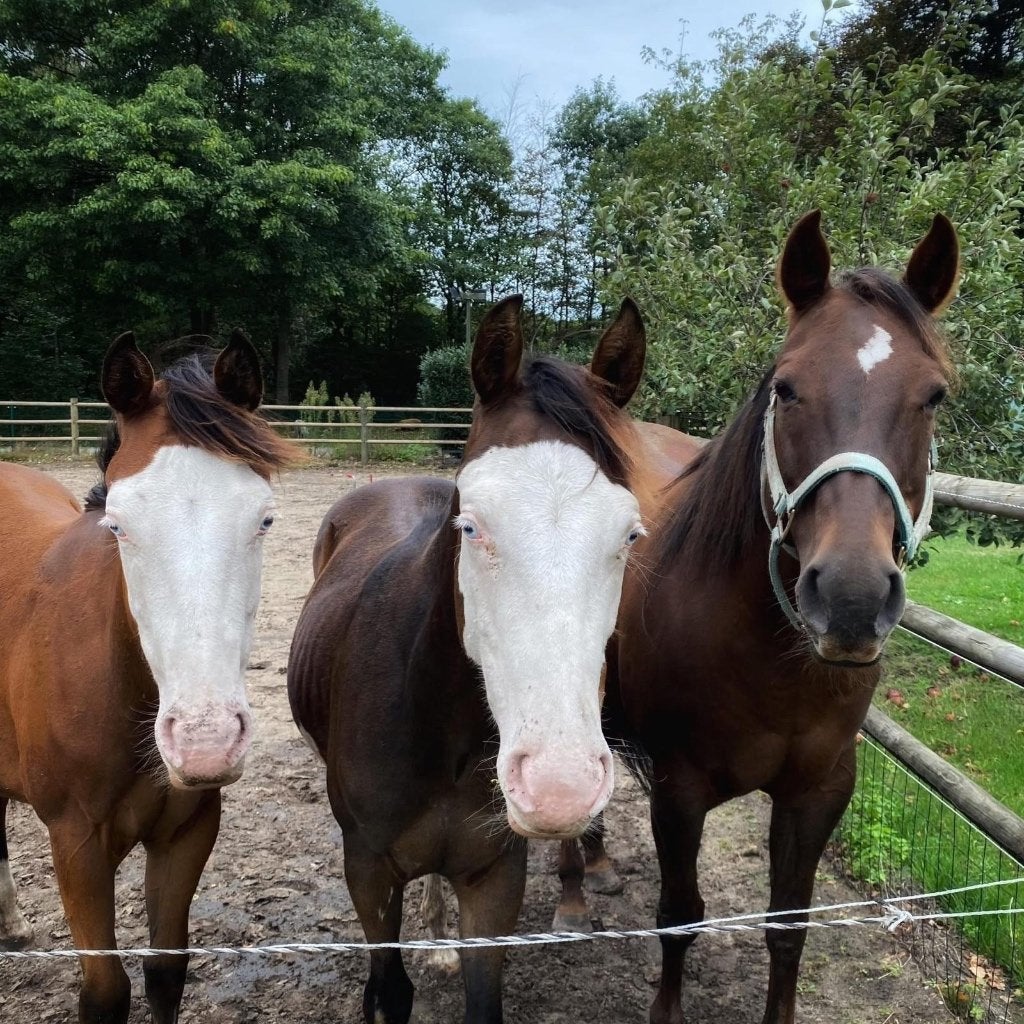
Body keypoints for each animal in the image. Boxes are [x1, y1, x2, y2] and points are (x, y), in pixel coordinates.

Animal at [0, 330, 300, 1023]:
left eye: (264, 519)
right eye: (118, 525)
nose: (204, 742)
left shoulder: (187, 832)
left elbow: (166, 972)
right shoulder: (76, 844)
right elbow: (106, 992)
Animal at [287, 294, 653, 1024]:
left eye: (629, 533)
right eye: (471, 525)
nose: (559, 785)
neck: (437, 727)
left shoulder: (493, 878)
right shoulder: (366, 871)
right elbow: (389, 991)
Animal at [569, 210, 959, 1024]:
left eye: (934, 396)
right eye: (786, 387)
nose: (850, 600)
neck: (770, 660)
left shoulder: (818, 791)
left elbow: (788, 928)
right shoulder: (680, 790)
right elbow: (680, 916)